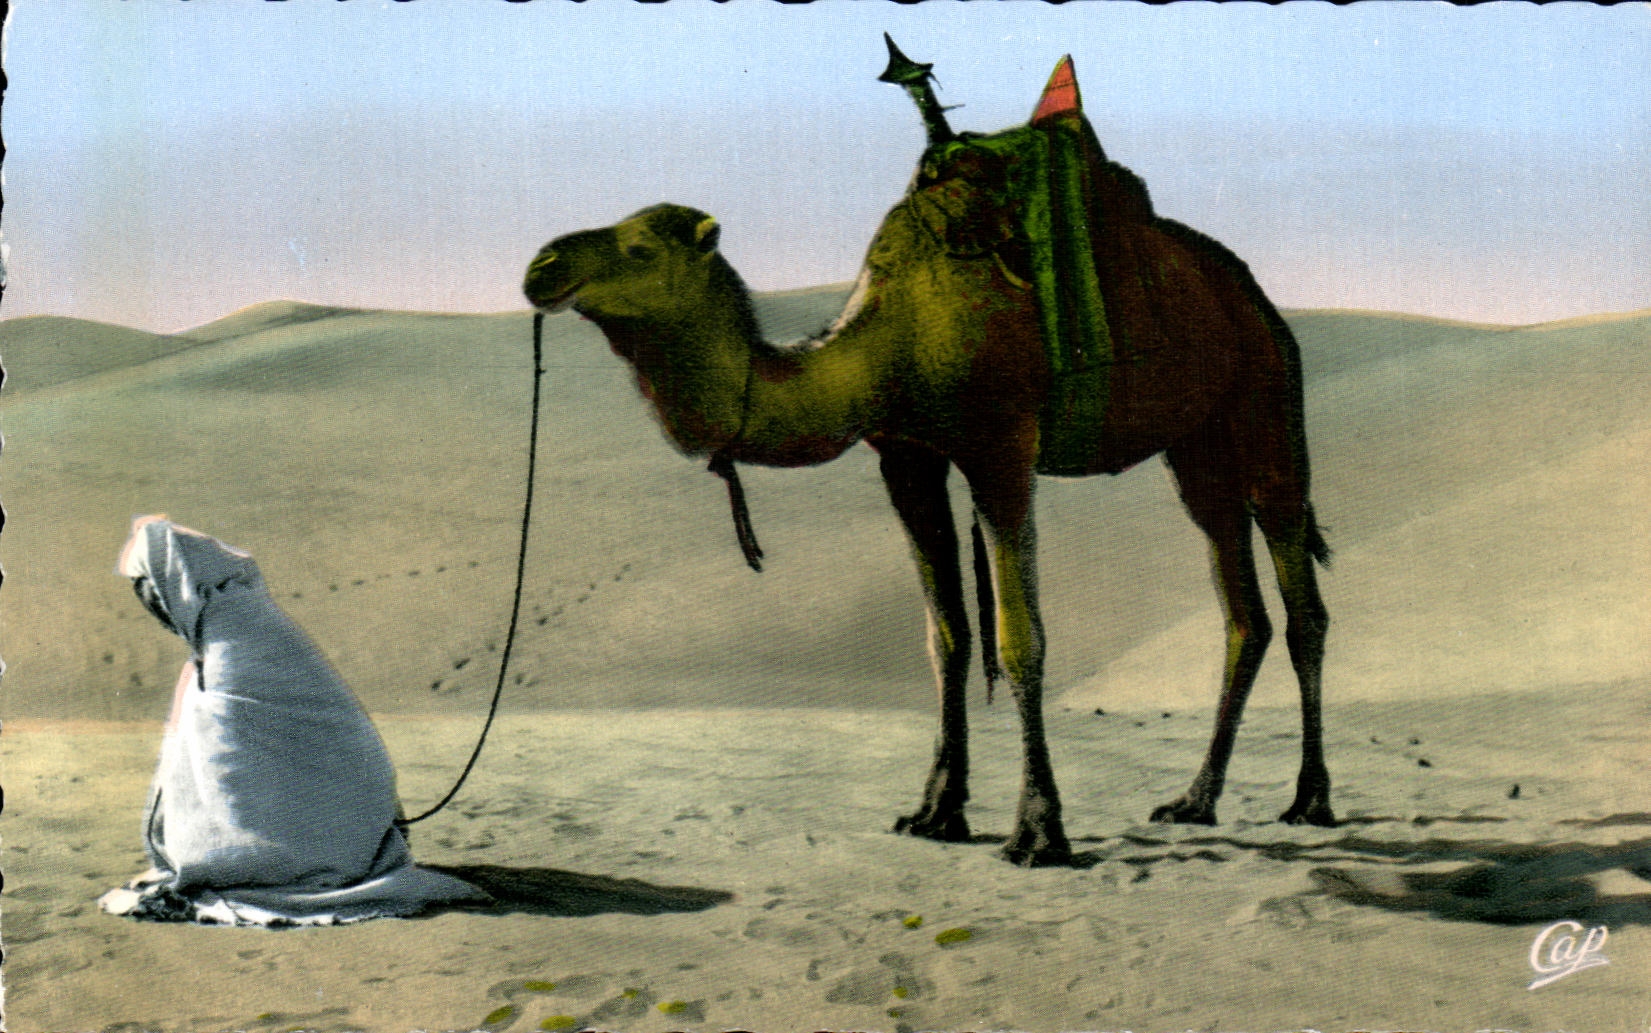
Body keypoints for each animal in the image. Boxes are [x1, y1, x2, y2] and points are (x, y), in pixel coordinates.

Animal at [524, 39, 1333, 866]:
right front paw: (935, 810)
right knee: (1242, 611)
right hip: (1195, 447)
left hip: (1268, 399)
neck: (891, 337)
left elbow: (1019, 638)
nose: (542, 265)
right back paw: (1194, 799)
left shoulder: (1000, 447)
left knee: (1301, 602)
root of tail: (1250, 295)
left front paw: (1037, 830)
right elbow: (944, 637)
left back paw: (1310, 798)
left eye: (639, 246)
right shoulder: (906, 457)